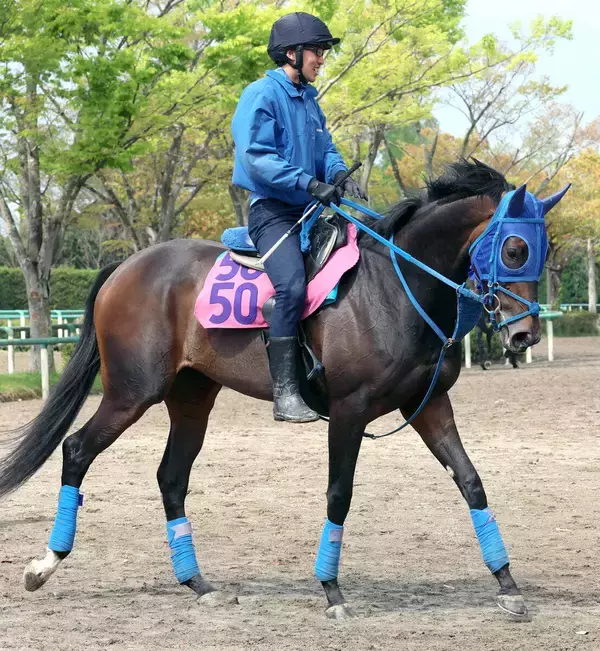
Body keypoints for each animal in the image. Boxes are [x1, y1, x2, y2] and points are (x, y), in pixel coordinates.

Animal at [0, 160, 566, 620]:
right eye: (516, 248)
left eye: (542, 252)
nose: (525, 335)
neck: (394, 286)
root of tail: (127, 265)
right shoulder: (349, 410)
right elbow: (340, 493)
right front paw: (331, 590)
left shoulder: (428, 404)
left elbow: (471, 482)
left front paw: (507, 584)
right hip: (131, 393)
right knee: (77, 449)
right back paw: (45, 564)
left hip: (191, 400)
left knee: (171, 479)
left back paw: (198, 584)